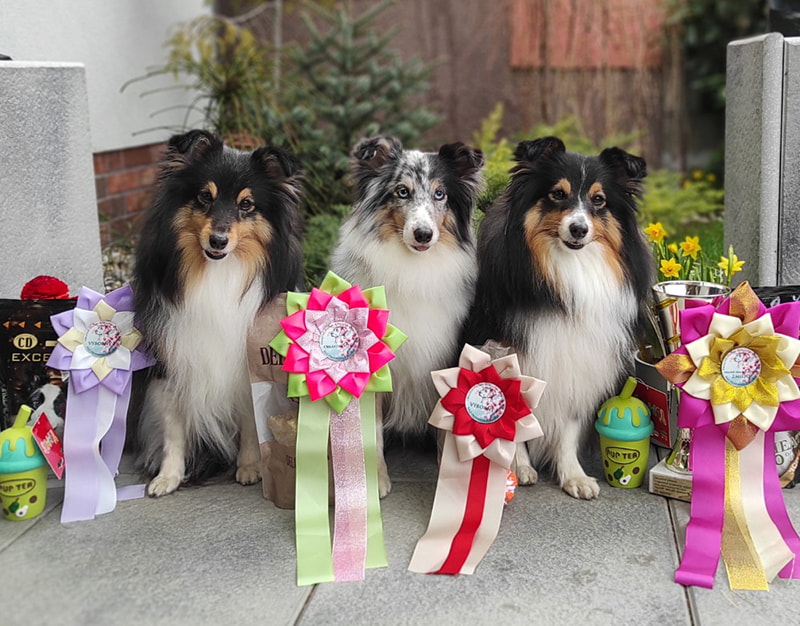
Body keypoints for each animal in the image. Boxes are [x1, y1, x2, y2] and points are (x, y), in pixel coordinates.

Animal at [133, 129, 304, 497]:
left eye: (246, 204)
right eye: (203, 197)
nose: (218, 241)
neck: (218, 272)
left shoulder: (244, 367)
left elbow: (250, 421)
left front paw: (250, 467)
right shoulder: (171, 361)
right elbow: (173, 427)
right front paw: (168, 476)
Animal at [330, 136, 485, 496]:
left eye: (440, 194)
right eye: (402, 191)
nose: (423, 234)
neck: (414, 269)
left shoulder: (444, 357)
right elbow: (371, 430)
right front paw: (376, 480)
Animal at [463, 136, 653, 499]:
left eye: (598, 200)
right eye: (557, 194)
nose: (578, 229)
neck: (567, 271)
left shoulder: (576, 360)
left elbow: (569, 424)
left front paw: (573, 476)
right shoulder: (513, 354)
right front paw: (518, 467)